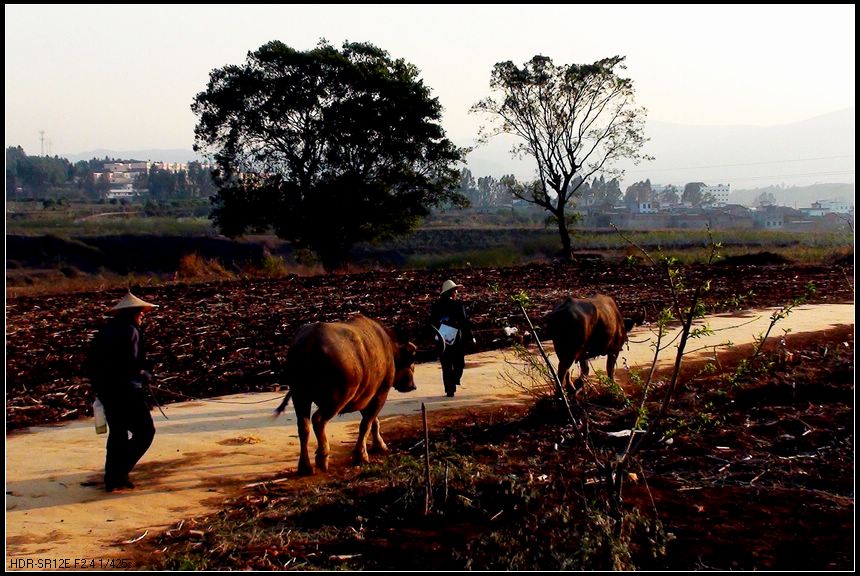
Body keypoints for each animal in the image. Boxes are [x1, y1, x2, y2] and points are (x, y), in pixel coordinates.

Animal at [270, 318, 414, 474]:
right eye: (411, 364)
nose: (412, 386)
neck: (389, 352)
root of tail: (310, 341)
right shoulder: (380, 394)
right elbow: (366, 424)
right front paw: (361, 455)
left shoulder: (365, 397)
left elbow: (373, 422)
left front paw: (379, 445)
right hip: (337, 398)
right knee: (318, 420)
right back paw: (322, 457)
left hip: (300, 396)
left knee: (303, 426)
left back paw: (305, 466)